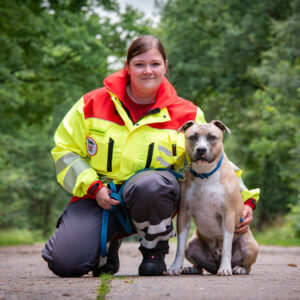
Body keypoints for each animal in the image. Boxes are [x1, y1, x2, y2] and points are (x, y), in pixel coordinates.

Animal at [169, 120, 258, 276]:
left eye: (212, 137)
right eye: (193, 137)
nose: (201, 149)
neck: (205, 174)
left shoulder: (228, 215)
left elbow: (227, 247)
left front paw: (225, 269)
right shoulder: (184, 214)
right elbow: (179, 247)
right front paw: (175, 267)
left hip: (250, 245)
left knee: (247, 266)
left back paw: (238, 269)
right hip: (192, 245)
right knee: (199, 265)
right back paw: (191, 269)